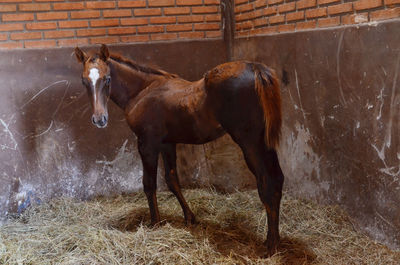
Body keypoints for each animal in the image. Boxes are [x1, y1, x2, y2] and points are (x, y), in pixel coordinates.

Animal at [74, 44, 284, 255]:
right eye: (84, 81)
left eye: (107, 78)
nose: (99, 119)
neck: (143, 90)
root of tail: (255, 68)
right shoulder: (167, 143)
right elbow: (172, 180)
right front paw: (189, 217)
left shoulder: (147, 143)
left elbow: (149, 184)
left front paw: (155, 223)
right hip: (264, 144)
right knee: (277, 180)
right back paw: (273, 241)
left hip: (250, 144)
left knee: (267, 183)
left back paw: (271, 245)